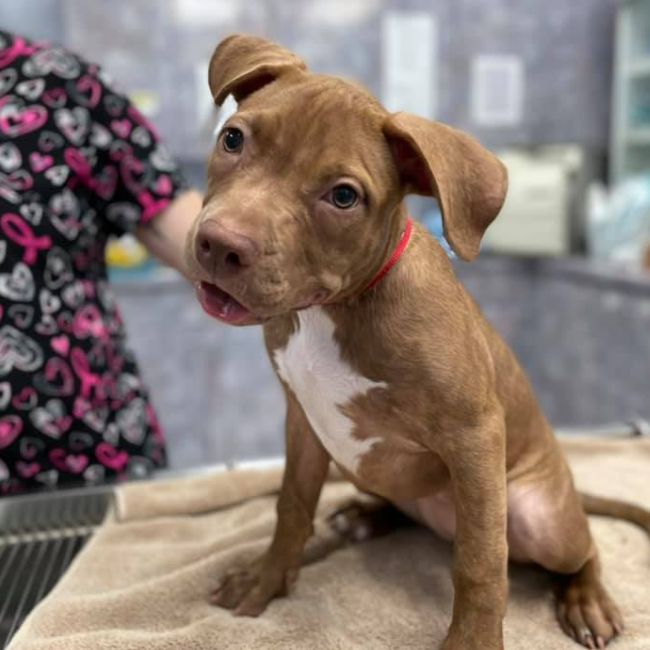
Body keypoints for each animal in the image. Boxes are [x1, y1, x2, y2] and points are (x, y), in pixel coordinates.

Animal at [184, 35, 648, 648]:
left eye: (343, 197)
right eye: (233, 139)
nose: (219, 245)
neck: (335, 311)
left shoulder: (475, 437)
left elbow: (481, 562)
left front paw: (474, 641)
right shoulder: (303, 421)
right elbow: (292, 504)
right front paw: (267, 578)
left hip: (539, 515)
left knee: (580, 545)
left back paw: (587, 597)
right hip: (363, 467)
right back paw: (364, 516)